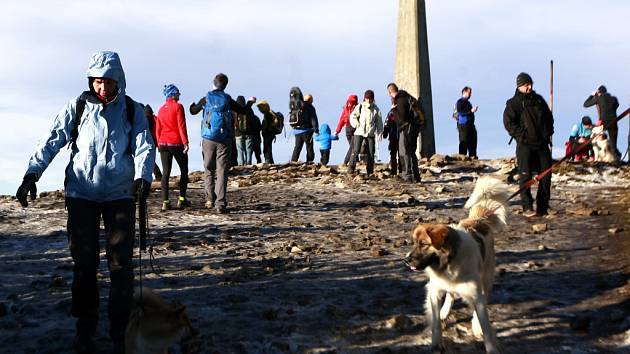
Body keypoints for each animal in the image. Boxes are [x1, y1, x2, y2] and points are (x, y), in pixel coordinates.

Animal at [404, 177, 512, 354]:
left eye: (424, 244)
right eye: (414, 243)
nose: (406, 261)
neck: (449, 262)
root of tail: (479, 220)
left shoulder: (475, 294)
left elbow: (485, 325)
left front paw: (489, 345)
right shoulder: (434, 291)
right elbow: (436, 323)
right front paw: (436, 343)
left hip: (486, 277)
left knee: (482, 297)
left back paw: (475, 325)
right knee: (451, 295)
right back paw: (445, 311)